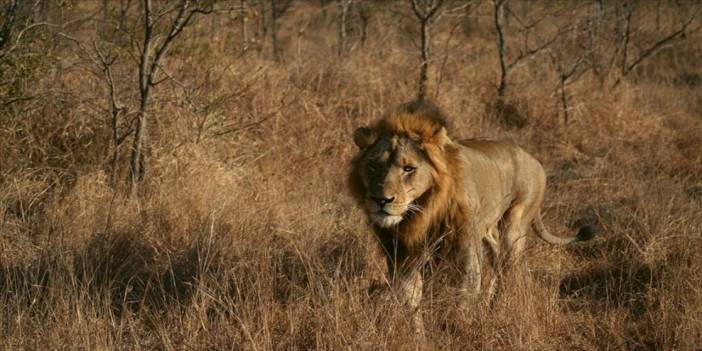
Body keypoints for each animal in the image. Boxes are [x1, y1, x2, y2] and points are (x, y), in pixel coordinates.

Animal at [350, 101, 592, 332]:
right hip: (487, 230)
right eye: (372, 165)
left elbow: (463, 296)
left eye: (408, 168)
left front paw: (455, 331)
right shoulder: (401, 254)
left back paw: (496, 311)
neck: (423, 212)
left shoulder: (466, 250)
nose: (381, 200)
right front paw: (417, 335)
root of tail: (533, 159)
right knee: (496, 262)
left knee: (507, 270)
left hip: (515, 225)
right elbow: (410, 298)